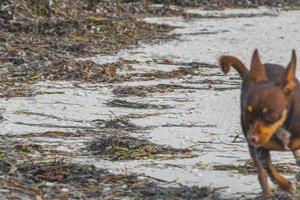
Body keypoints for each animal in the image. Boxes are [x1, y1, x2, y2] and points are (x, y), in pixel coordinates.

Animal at [218, 49, 300, 198]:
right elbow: (269, 170)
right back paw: (268, 193)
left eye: (270, 114)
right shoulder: (261, 150)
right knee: (262, 174)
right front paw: (286, 185)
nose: (251, 138)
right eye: (248, 114)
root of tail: (249, 74)